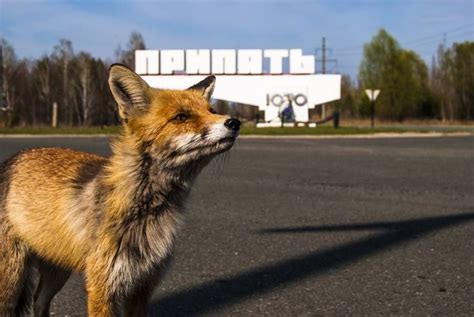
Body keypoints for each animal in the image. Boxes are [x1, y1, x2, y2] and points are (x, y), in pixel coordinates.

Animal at [0, 63, 241, 314]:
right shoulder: (102, 286)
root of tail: (14, 158)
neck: (147, 214)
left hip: (57, 272)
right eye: (181, 117)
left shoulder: (143, 286)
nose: (234, 122)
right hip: (11, 281)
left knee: (38, 302)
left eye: (212, 110)